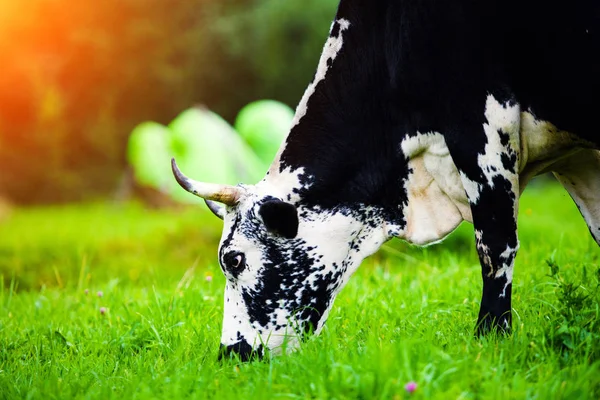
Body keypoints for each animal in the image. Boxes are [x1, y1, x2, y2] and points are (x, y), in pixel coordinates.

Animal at [170, 0, 600, 360]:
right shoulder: (576, 156)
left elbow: (494, 246)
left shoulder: (479, 126)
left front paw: (490, 337)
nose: (232, 354)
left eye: (233, 258)